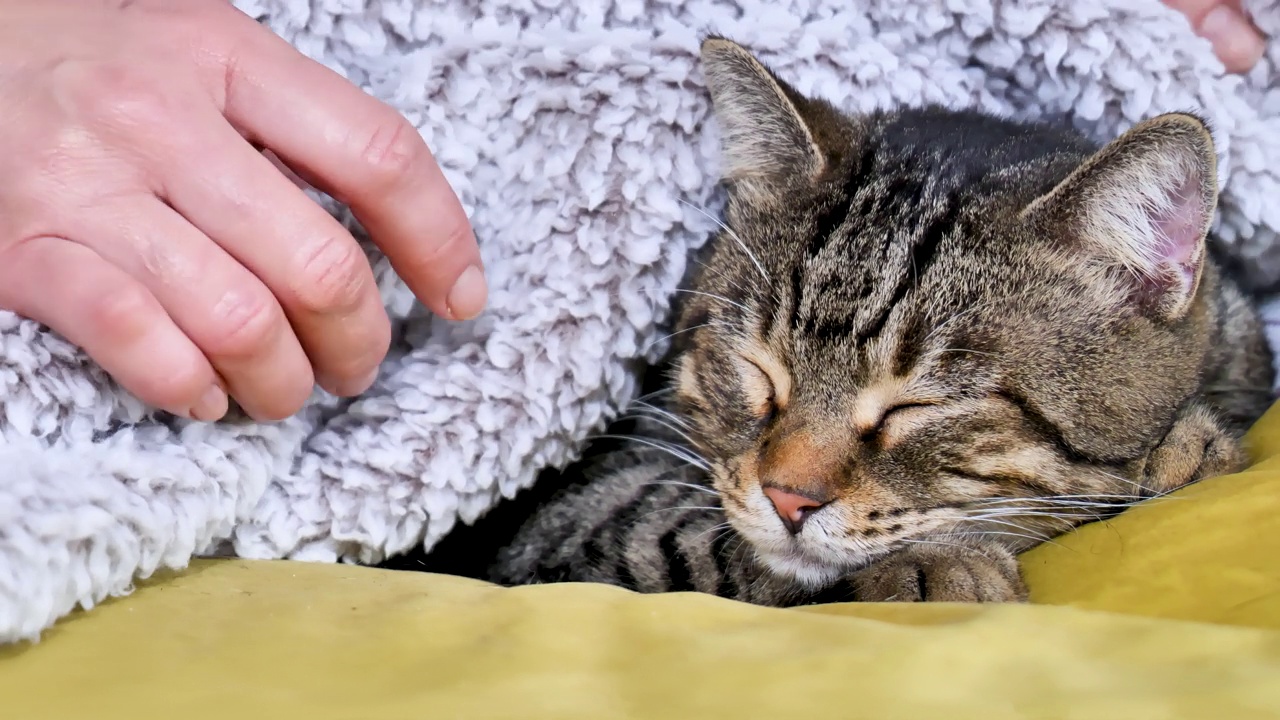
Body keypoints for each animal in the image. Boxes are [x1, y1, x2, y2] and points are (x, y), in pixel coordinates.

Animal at [481, 37, 1280, 599]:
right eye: (757, 369)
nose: (788, 500)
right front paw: (942, 563)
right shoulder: (577, 515)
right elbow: (707, 541)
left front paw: (1187, 452)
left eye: (917, 406)